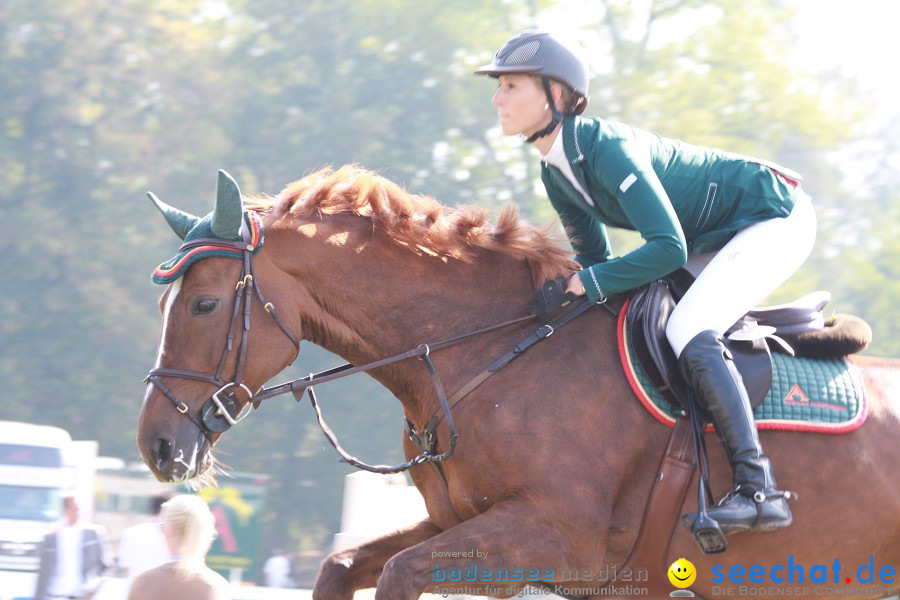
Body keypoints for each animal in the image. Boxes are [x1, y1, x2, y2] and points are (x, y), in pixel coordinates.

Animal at [137, 166, 900, 596]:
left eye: (204, 304)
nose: (156, 446)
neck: (489, 348)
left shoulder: (559, 537)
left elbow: (397, 574)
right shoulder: (462, 521)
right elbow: (344, 564)